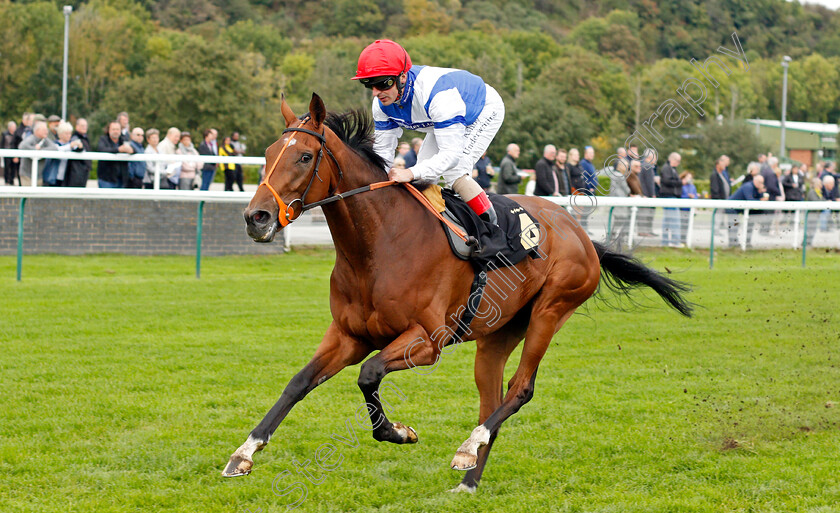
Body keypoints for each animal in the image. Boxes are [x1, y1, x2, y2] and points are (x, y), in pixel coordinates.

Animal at [223, 94, 688, 490]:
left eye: (304, 156)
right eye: (267, 155)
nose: (256, 217)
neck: (379, 245)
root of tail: (581, 233)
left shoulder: (426, 342)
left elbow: (369, 374)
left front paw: (399, 432)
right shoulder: (349, 335)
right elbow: (298, 382)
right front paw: (244, 453)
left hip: (551, 311)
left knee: (520, 388)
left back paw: (467, 448)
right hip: (499, 334)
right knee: (492, 398)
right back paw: (469, 479)